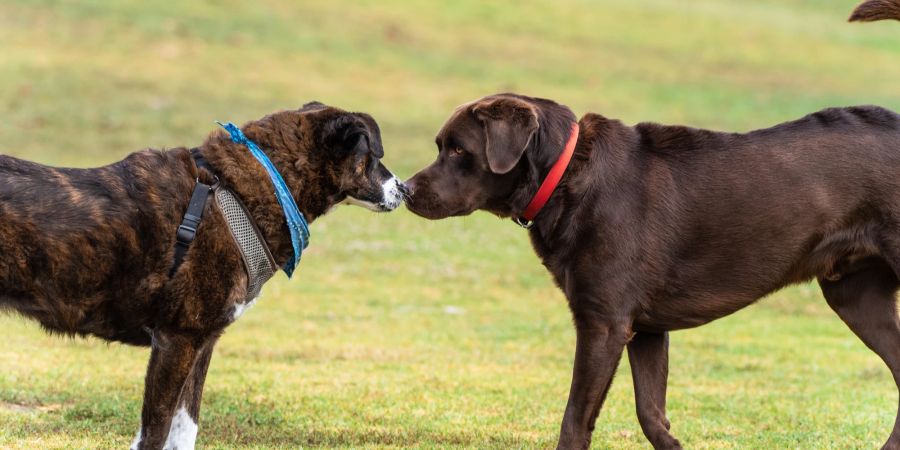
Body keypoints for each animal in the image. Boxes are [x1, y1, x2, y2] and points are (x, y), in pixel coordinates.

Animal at [0, 102, 402, 450]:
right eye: (374, 157)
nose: (406, 189)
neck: (239, 192)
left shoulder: (202, 342)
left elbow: (184, 431)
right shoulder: (177, 340)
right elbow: (154, 435)